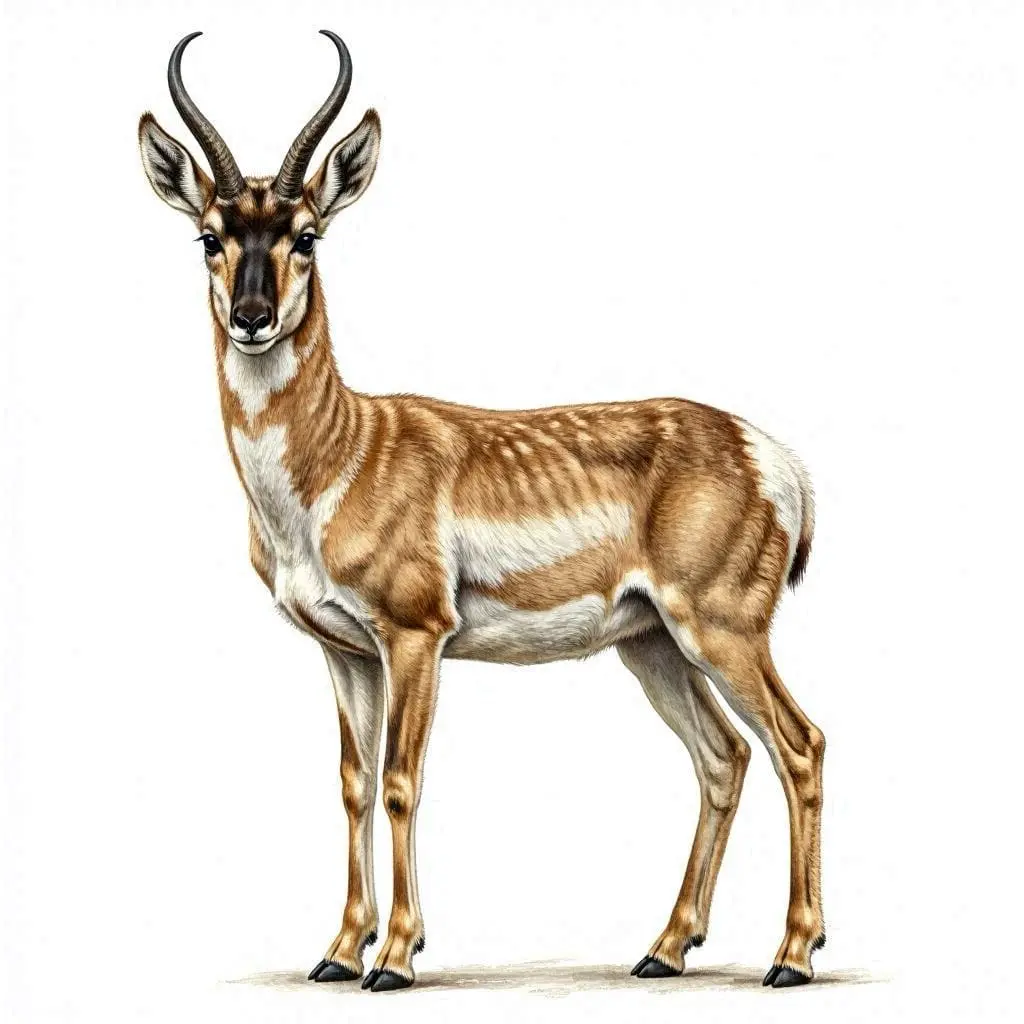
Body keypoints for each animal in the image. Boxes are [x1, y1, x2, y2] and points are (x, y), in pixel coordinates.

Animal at [138, 30, 826, 993]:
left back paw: (792, 958)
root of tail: (771, 456)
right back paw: (663, 949)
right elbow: (353, 782)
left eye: (307, 234)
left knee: (799, 745)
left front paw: (395, 958)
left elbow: (402, 780)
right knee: (723, 757)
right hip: (653, 646)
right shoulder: (344, 651)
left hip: (721, 631)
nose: (253, 315)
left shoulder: (416, 637)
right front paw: (338, 951)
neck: (344, 450)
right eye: (210, 234)